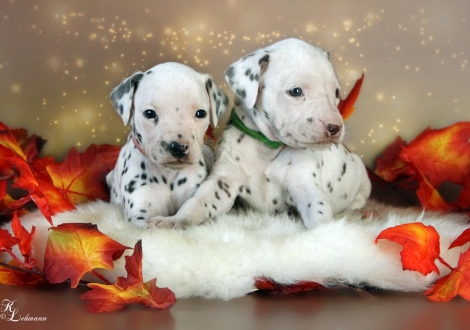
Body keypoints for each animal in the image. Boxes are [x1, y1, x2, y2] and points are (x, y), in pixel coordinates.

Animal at [151, 38, 370, 229]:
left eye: (336, 92)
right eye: (295, 91)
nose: (335, 128)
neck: (267, 146)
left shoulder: (305, 185)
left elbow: (319, 214)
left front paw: (328, 235)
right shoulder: (223, 182)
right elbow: (198, 202)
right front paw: (176, 220)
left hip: (362, 177)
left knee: (358, 199)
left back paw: (360, 212)